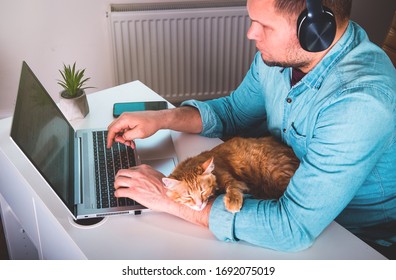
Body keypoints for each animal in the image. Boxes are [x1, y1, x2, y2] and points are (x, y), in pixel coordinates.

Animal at [162, 136, 298, 212]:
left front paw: (232, 201)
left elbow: (233, 187)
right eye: (188, 196)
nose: (199, 205)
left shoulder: (233, 180)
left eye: (202, 191)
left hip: (276, 172)